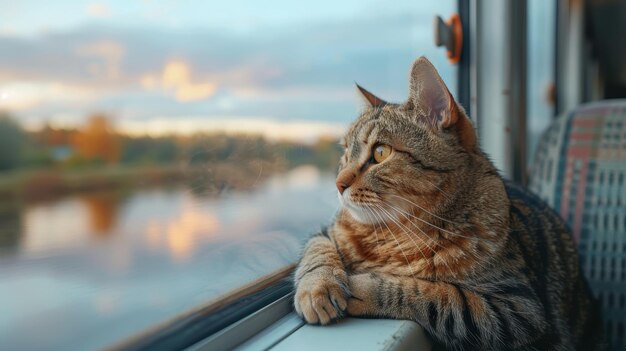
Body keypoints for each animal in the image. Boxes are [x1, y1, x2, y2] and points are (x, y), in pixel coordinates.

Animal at [292, 56, 604, 350]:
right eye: (345, 153)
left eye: (380, 153)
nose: (338, 183)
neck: (390, 235)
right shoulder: (327, 230)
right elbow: (317, 251)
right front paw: (319, 287)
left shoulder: (518, 310)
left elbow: (442, 297)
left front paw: (368, 287)